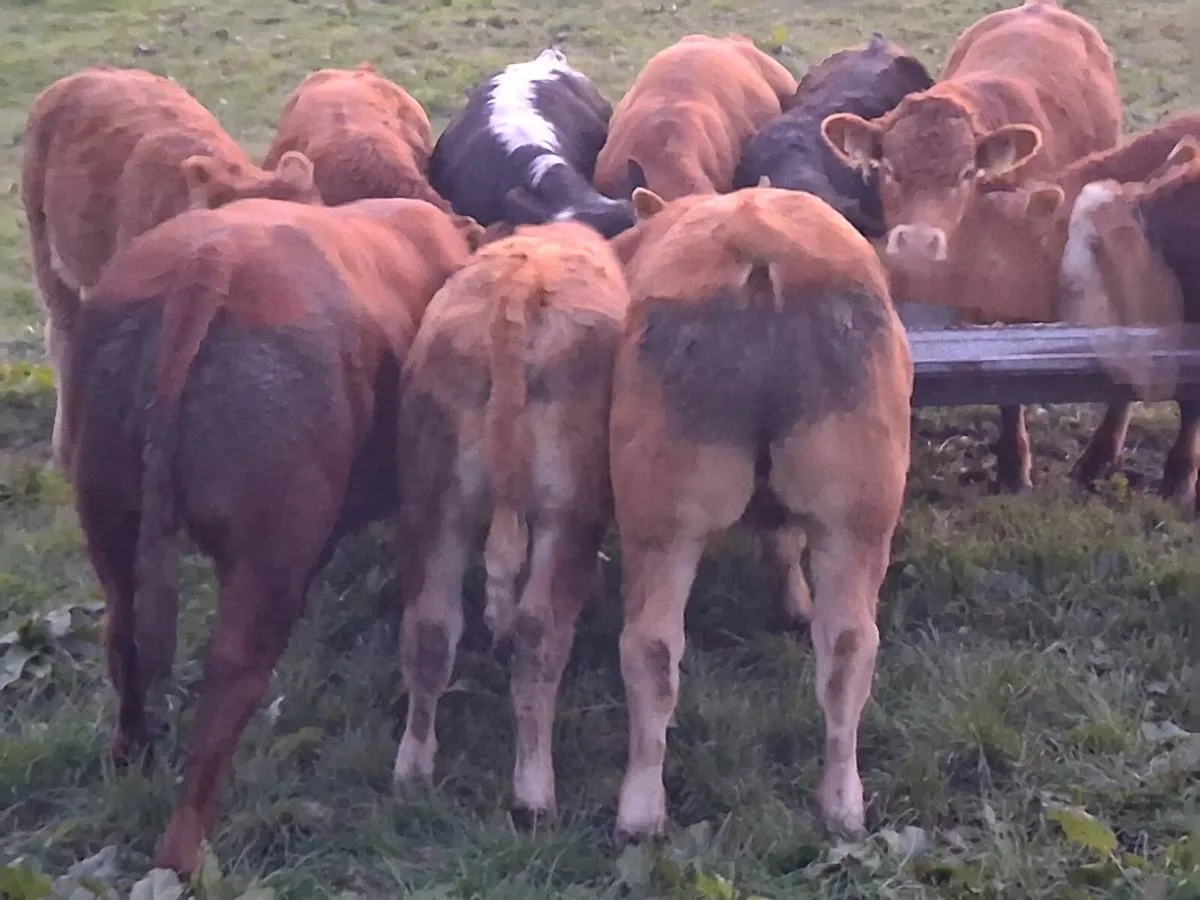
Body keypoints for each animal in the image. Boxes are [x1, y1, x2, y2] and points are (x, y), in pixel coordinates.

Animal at [64, 196, 475, 876]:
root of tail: (209, 263)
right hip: (268, 555)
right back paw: (185, 852)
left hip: (109, 516)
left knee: (122, 634)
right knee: (230, 681)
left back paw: (131, 751)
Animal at [389, 220, 631, 824]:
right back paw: (534, 788)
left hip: (437, 507)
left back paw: (413, 769)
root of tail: (518, 291)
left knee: (430, 630)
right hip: (565, 512)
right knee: (539, 635)